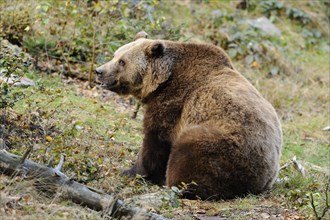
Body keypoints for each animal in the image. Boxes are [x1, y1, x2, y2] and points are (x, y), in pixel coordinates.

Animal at [94, 33, 282, 200]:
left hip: (230, 149)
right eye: (115, 54)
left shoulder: (174, 103)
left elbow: (155, 142)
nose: (99, 71)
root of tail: (265, 181)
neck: (162, 81)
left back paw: (173, 183)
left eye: (122, 61)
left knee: (191, 150)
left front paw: (130, 171)